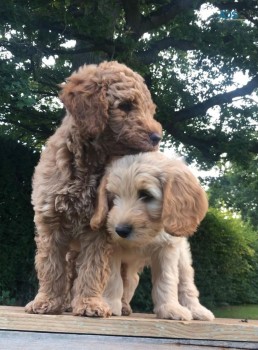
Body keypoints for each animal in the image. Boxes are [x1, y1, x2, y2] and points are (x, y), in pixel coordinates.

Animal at [24, 60, 161, 318]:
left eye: (150, 110)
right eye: (126, 105)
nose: (157, 137)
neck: (88, 165)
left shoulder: (98, 230)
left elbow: (93, 268)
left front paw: (89, 303)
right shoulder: (50, 221)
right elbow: (51, 266)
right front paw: (47, 301)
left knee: (126, 281)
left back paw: (122, 306)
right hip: (72, 249)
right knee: (70, 269)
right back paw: (67, 302)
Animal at [90, 152, 214, 322]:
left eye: (146, 195)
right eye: (113, 197)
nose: (120, 230)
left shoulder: (167, 249)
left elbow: (167, 278)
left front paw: (170, 308)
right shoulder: (111, 246)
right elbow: (113, 277)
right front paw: (109, 303)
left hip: (182, 257)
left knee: (186, 282)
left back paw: (196, 309)